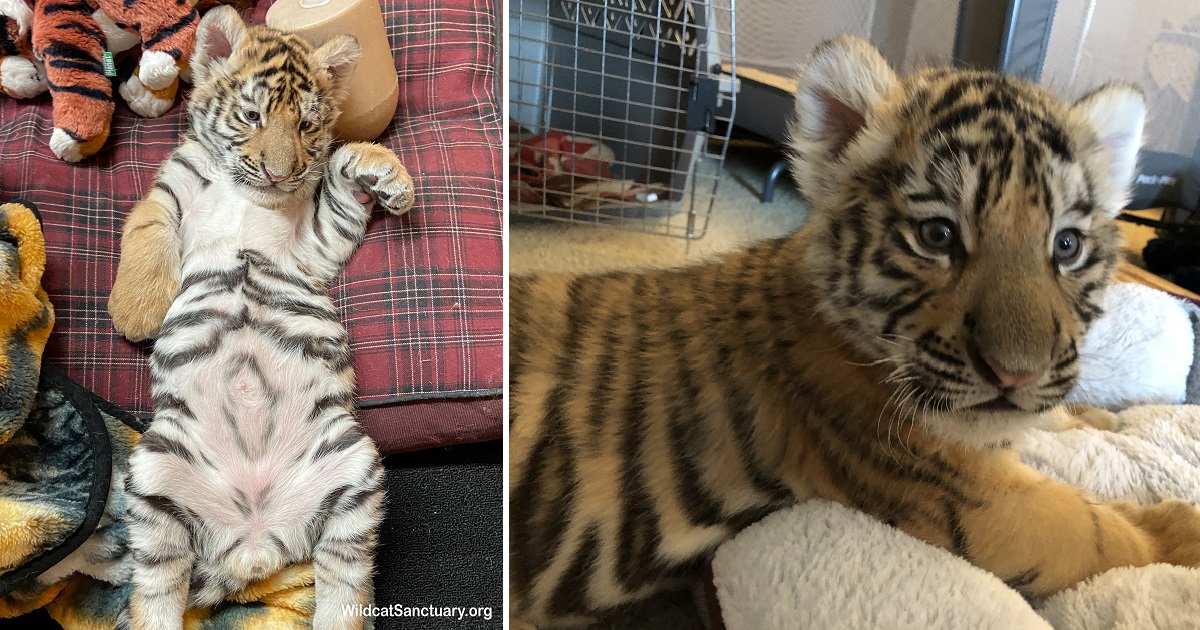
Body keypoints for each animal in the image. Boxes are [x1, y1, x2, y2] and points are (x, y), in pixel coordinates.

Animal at [105, 7, 414, 630]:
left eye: (307, 127)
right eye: (252, 117)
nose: (279, 173)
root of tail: (252, 544)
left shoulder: (312, 246)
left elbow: (342, 171)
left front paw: (385, 173)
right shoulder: (173, 186)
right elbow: (147, 221)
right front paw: (138, 307)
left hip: (352, 474)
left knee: (346, 580)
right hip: (155, 477)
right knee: (156, 587)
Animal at [508, 36, 1200, 628]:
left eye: (1066, 245)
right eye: (938, 236)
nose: (1015, 373)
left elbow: (1063, 421)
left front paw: (1104, 418)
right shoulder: (976, 499)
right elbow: (1099, 531)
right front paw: (1182, 531)